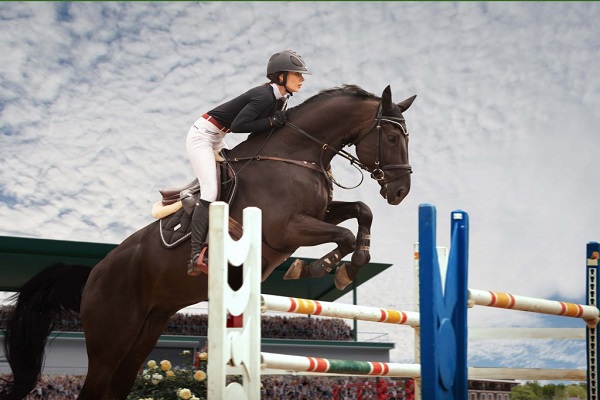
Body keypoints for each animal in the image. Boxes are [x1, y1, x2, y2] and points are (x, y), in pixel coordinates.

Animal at [3, 83, 418, 398]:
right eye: (391, 136)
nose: (400, 191)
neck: (296, 153)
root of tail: (93, 274)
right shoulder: (285, 228)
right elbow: (344, 233)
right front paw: (320, 267)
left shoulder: (318, 213)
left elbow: (362, 211)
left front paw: (348, 264)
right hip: (110, 339)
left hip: (145, 332)